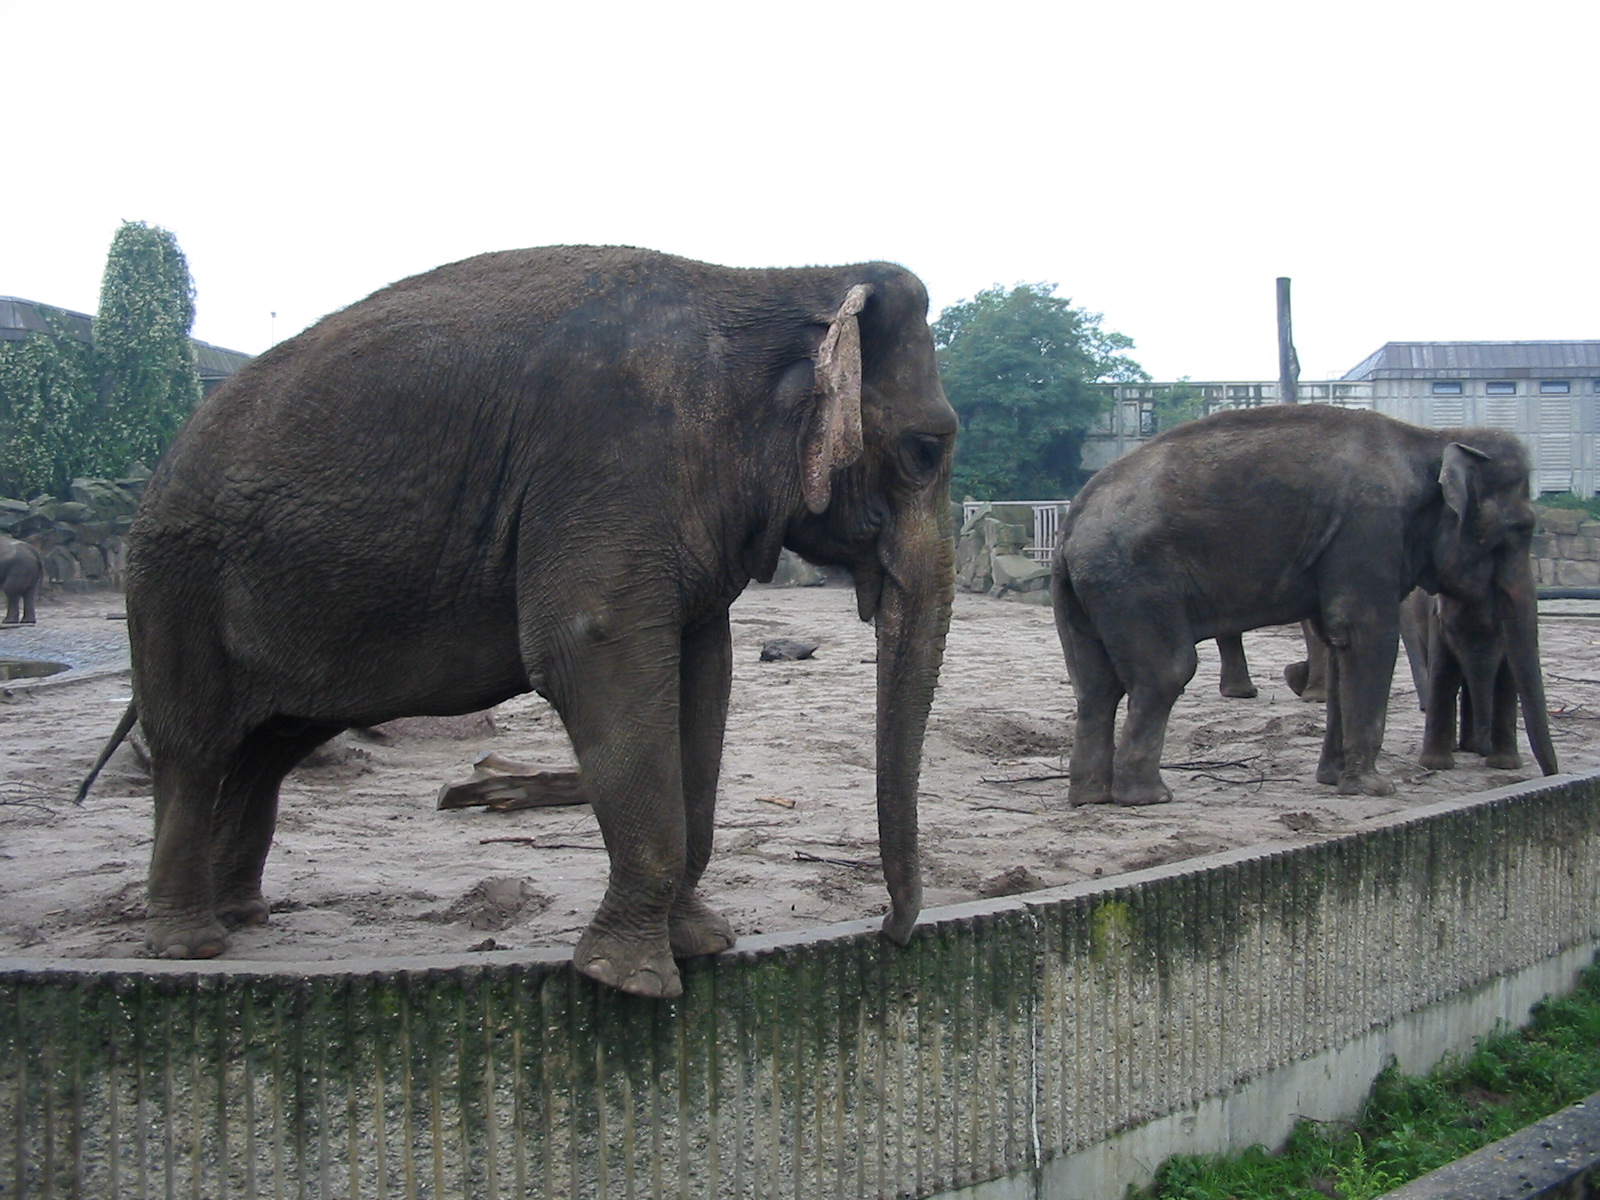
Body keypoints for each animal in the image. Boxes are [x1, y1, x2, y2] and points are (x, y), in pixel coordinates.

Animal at [81, 246, 957, 998]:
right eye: (925, 450)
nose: (890, 933)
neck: (771, 281)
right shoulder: (608, 459)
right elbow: (591, 649)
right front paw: (630, 981)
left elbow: (706, 674)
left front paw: (702, 943)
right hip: (174, 579)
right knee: (195, 744)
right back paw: (189, 945)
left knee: (269, 747)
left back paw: (242, 918)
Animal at [1052, 404, 1557, 806]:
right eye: (1521, 529)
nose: (1551, 777)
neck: (1429, 439)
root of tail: (1072, 519)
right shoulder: (1369, 529)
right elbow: (1368, 634)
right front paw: (1374, 789)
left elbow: (1337, 642)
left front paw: (1333, 779)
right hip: (1134, 581)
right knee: (1165, 672)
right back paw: (1148, 798)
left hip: (1092, 590)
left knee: (1097, 687)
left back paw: (1091, 797)